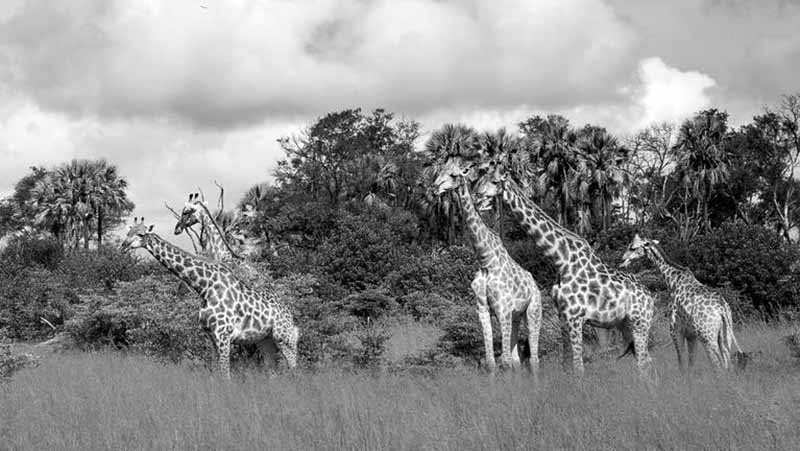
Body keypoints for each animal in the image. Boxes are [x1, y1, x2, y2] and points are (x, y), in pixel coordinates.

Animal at [122, 218, 300, 378]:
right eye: (128, 232)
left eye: (141, 234)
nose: (124, 246)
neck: (205, 288)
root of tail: (290, 314)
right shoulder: (211, 336)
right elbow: (216, 372)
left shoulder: (223, 334)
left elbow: (225, 375)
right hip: (265, 340)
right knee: (273, 370)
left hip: (285, 338)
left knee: (294, 369)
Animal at [434, 159, 540, 374]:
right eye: (439, 171)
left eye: (454, 175)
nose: (434, 188)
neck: (486, 261)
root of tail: (536, 285)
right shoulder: (483, 309)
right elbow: (491, 361)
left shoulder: (502, 309)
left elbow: (504, 361)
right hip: (516, 317)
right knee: (517, 359)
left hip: (533, 310)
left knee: (534, 359)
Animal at [472, 161, 652, 376]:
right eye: (480, 178)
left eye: (494, 181)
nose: (476, 195)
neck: (561, 259)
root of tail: (651, 297)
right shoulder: (563, 317)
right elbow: (567, 365)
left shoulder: (575, 317)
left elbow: (578, 367)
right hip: (626, 324)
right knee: (646, 363)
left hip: (641, 323)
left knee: (644, 364)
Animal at [620, 237, 744, 370]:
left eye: (632, 247)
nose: (622, 260)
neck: (672, 281)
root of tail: (722, 309)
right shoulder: (691, 335)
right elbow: (691, 363)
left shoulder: (675, 331)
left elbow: (681, 362)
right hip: (726, 335)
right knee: (727, 363)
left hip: (707, 337)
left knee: (718, 365)